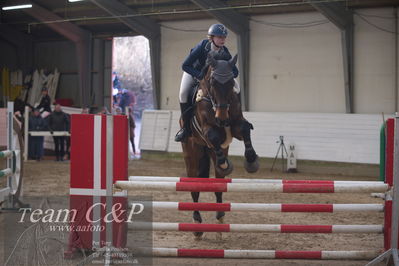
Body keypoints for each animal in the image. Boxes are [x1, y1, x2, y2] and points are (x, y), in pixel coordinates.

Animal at [181, 52, 260, 239]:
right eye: (213, 82)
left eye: (231, 83)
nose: (222, 118)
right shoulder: (207, 130)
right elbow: (213, 135)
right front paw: (225, 163)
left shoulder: (236, 124)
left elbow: (245, 129)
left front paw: (251, 161)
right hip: (191, 153)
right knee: (194, 187)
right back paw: (197, 225)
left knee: (218, 186)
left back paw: (220, 218)